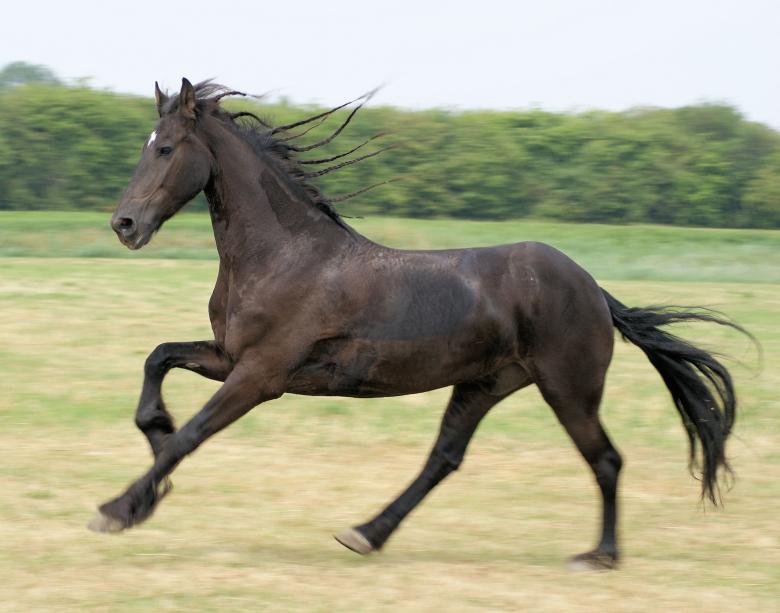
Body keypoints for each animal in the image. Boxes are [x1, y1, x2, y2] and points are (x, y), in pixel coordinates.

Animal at [91, 78, 746, 570]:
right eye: (147, 144)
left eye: (166, 148)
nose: (125, 224)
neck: (285, 255)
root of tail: (592, 289)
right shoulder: (228, 356)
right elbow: (158, 361)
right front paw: (152, 461)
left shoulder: (260, 375)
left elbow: (191, 435)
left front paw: (121, 508)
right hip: (485, 383)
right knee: (444, 459)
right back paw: (365, 533)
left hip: (569, 388)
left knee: (605, 460)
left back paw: (601, 555)